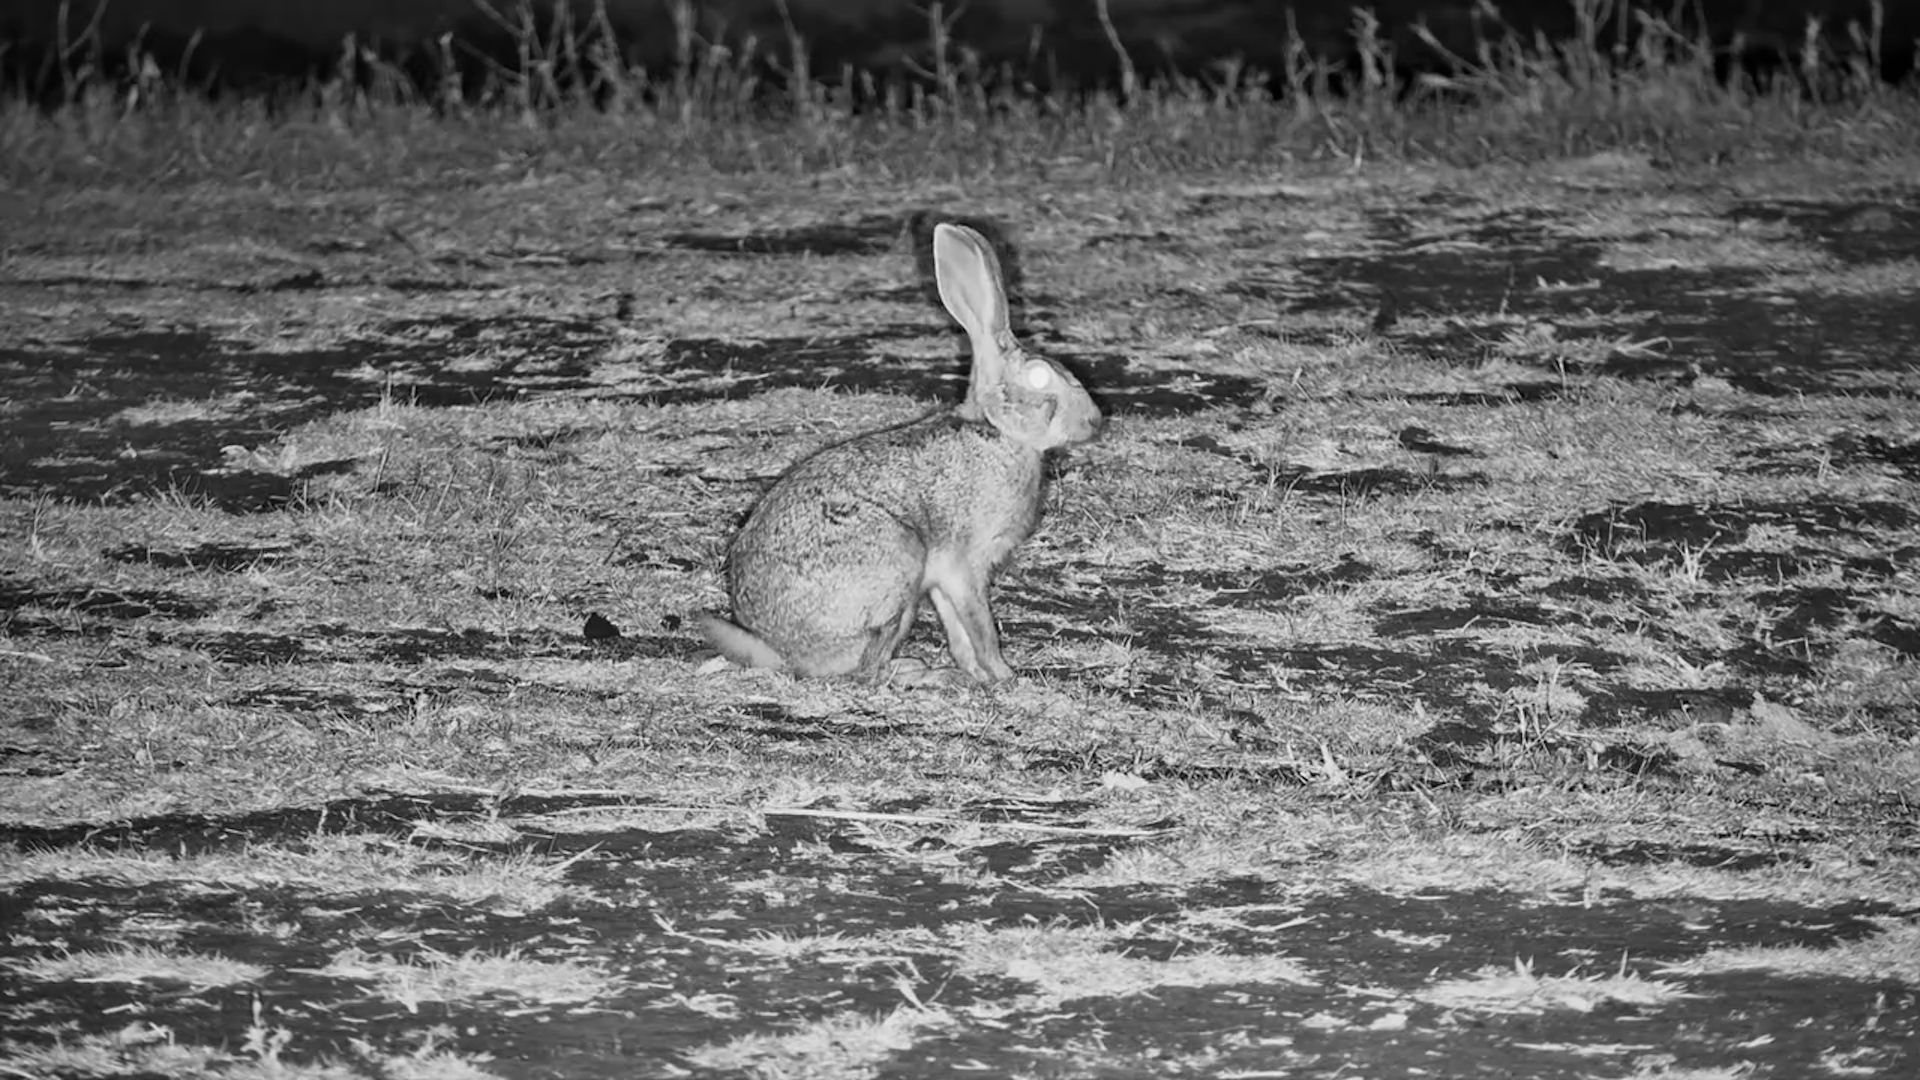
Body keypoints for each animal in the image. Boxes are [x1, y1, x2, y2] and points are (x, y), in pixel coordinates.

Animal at [698, 221, 1102, 685]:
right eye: (1039, 379)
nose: (1095, 421)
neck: (996, 432)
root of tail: (783, 651)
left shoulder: (942, 579)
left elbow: (957, 628)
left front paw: (975, 672)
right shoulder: (963, 567)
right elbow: (981, 625)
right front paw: (1003, 674)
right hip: (898, 565)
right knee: (866, 671)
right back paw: (918, 672)